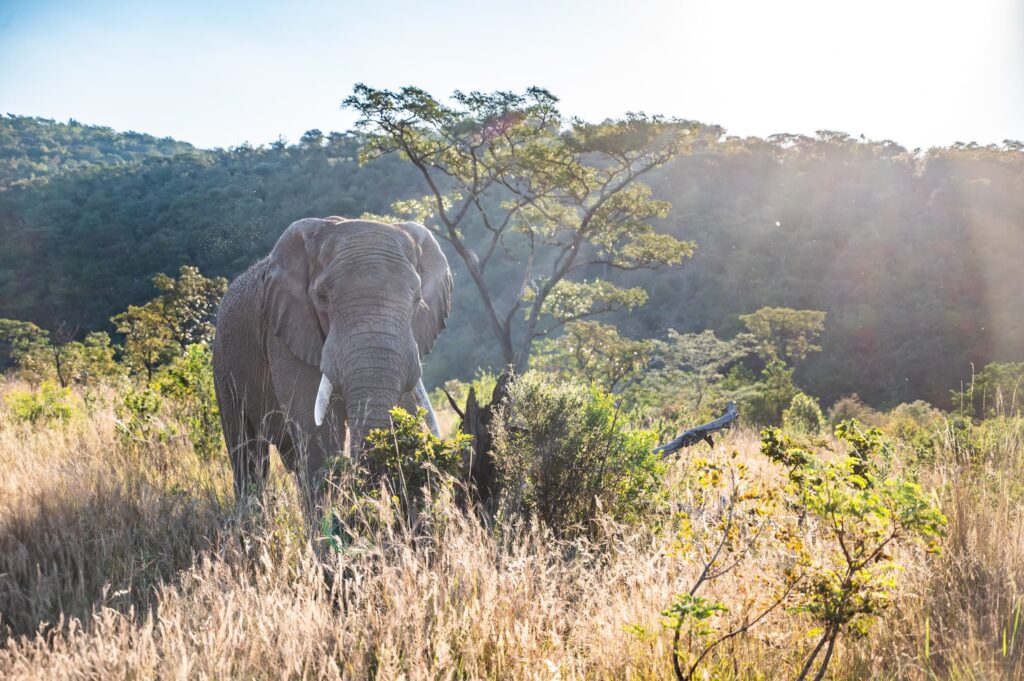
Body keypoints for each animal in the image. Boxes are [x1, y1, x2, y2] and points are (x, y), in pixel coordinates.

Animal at [211, 215, 452, 507]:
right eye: (322, 298)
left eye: (417, 299)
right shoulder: (285, 332)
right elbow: (319, 434)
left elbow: (403, 409)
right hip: (223, 367)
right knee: (248, 455)